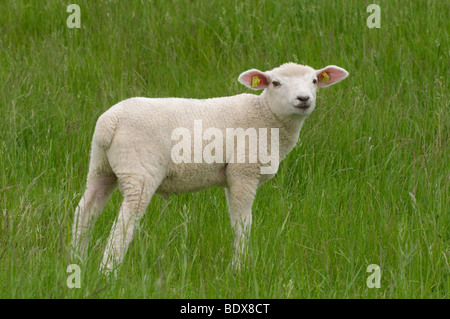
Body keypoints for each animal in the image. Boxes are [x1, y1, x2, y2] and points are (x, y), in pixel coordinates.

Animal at [72, 62, 350, 276]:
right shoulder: (244, 172)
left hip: (100, 166)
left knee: (85, 211)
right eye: (275, 83)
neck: (266, 118)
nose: (304, 99)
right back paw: (108, 272)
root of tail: (110, 122)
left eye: (314, 81)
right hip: (139, 170)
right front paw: (239, 269)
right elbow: (243, 223)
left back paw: (77, 262)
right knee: (124, 222)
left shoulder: (231, 176)